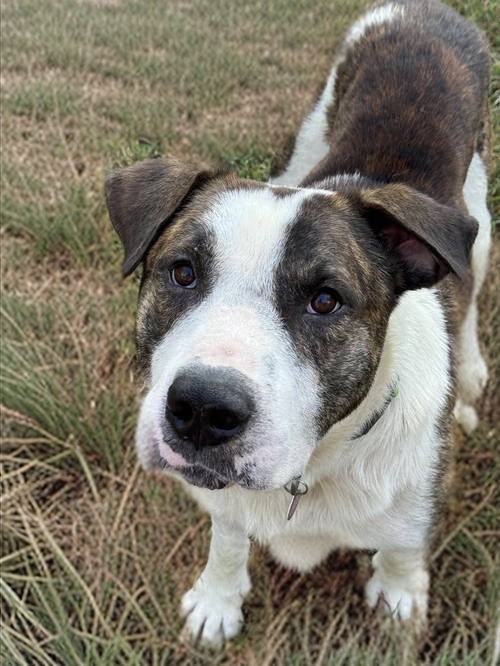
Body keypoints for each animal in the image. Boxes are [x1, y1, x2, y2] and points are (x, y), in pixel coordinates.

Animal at [103, 0, 490, 644]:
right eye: (182, 273)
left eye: (326, 300)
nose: (202, 408)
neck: (314, 465)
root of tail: (424, 9)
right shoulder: (225, 500)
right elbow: (228, 536)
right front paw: (218, 597)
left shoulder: (420, 495)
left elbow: (403, 546)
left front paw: (400, 595)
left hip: (479, 231)